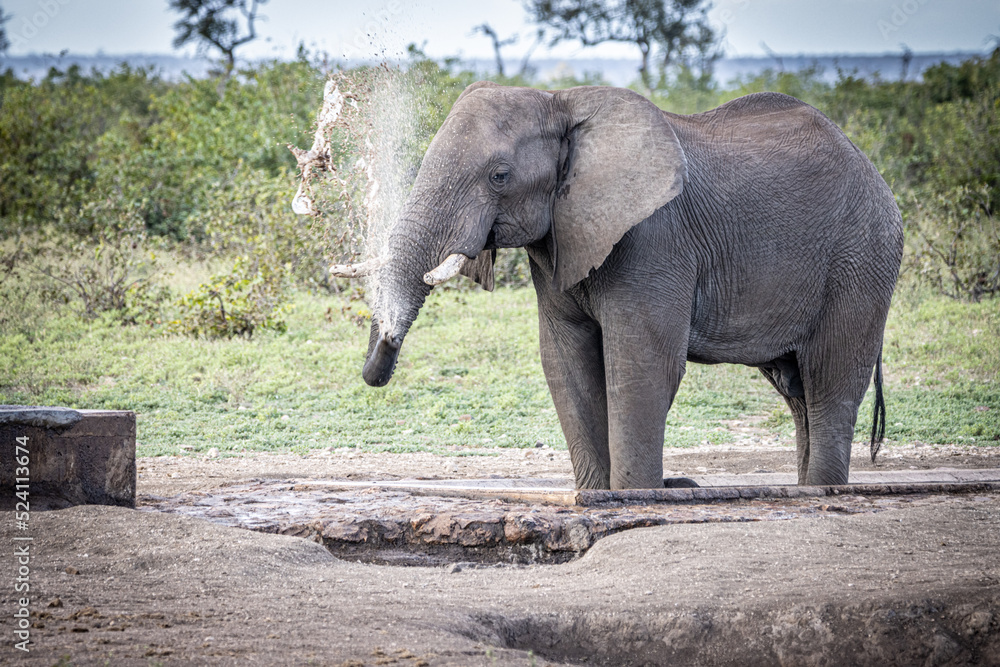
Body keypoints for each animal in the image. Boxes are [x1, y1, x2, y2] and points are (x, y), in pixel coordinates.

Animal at [333, 82, 903, 490]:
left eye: (499, 175)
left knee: (830, 384)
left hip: (861, 261)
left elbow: (642, 365)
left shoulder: (654, 239)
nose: (375, 370)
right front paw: (598, 497)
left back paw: (824, 491)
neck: (558, 101)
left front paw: (637, 497)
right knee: (798, 392)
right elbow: (565, 362)